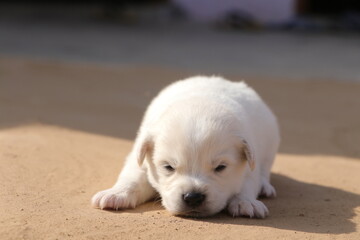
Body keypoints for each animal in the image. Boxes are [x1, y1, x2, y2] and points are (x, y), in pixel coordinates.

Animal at [91, 76, 280, 218]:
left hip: (270, 142)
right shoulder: (140, 156)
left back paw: (265, 187)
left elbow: (247, 183)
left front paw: (245, 202)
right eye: (168, 167)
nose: (193, 197)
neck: (201, 102)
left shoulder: (249, 163)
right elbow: (132, 176)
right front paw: (116, 193)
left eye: (220, 167)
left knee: (264, 170)